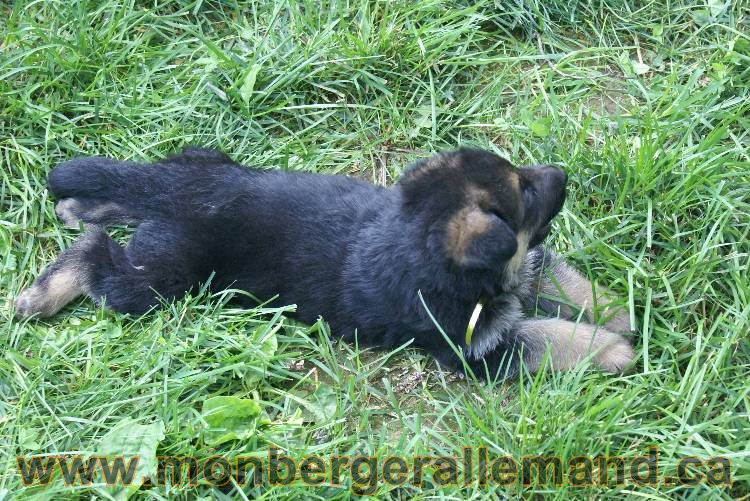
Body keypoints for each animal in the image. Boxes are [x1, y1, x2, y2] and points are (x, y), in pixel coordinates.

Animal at [14, 147, 636, 378]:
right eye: (525, 193)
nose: (562, 175)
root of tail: (190, 192)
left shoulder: (524, 268)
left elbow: (560, 279)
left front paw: (619, 313)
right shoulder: (473, 347)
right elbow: (545, 337)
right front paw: (614, 350)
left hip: (190, 173)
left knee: (120, 199)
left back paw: (75, 206)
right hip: (161, 276)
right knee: (98, 254)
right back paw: (41, 293)